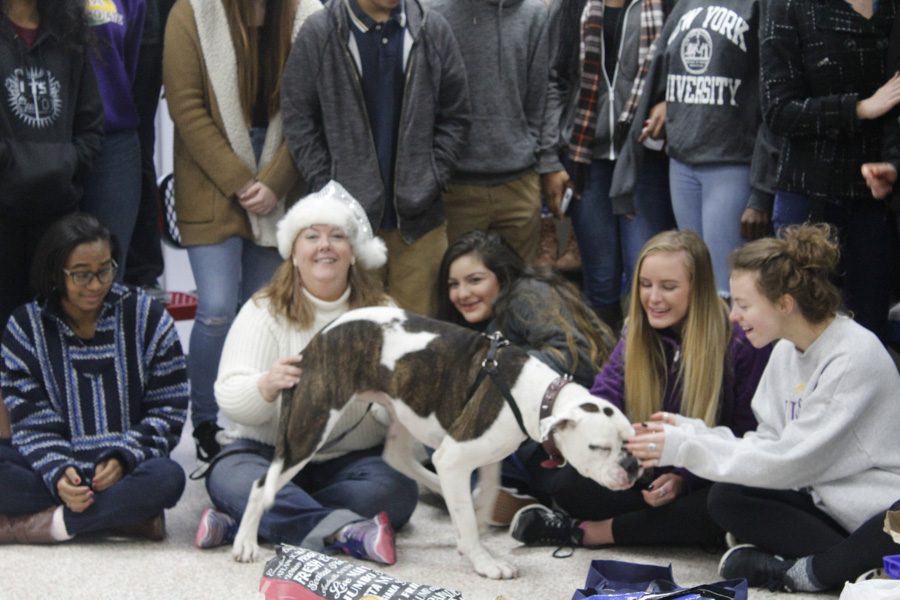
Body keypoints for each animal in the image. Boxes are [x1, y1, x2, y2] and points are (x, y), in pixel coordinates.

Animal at [232, 308, 640, 580]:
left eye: (630, 442)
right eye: (600, 447)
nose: (632, 467)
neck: (540, 396)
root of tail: (316, 340)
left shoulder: (485, 455)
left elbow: (485, 495)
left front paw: (475, 529)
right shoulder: (459, 454)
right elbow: (471, 514)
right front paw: (484, 561)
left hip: (401, 410)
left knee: (399, 458)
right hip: (311, 427)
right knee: (260, 485)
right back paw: (245, 543)